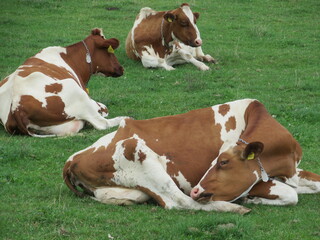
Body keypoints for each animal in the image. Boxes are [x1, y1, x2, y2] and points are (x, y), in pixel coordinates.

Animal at [63, 98, 320, 213]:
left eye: (223, 161)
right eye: (216, 160)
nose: (197, 188)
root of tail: (73, 158)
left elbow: (315, 183)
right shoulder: (255, 182)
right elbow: (290, 194)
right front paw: (253, 200)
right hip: (139, 154)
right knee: (181, 202)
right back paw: (233, 208)